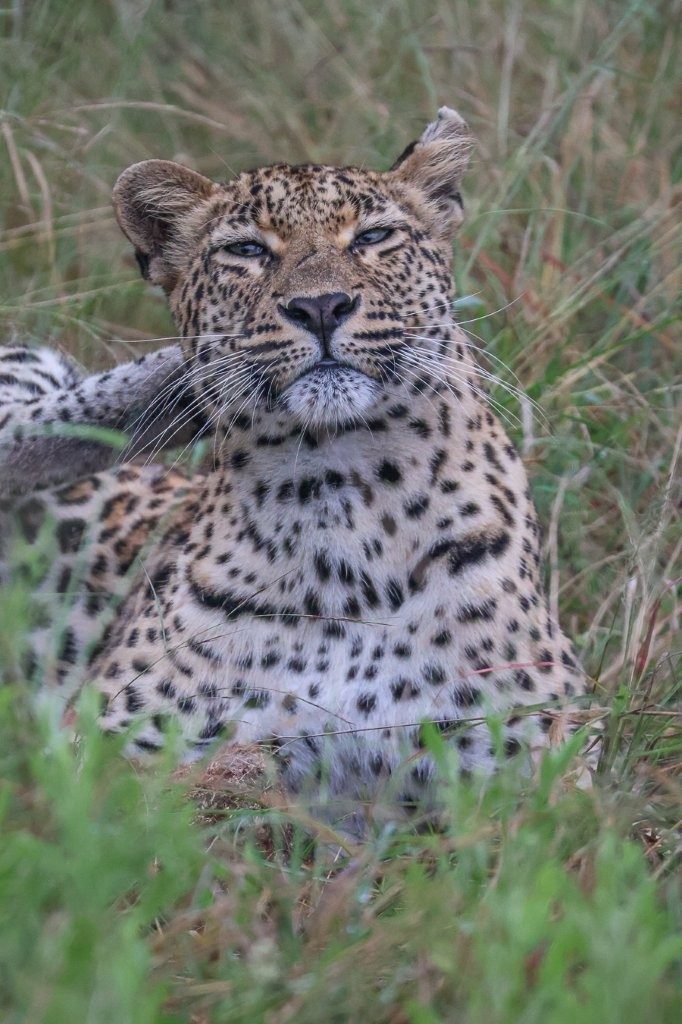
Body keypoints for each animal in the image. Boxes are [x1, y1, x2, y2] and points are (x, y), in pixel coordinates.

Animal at [2, 108, 587, 817]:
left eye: (374, 236)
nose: (320, 306)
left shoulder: (543, 746)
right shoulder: (102, 744)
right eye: (248, 251)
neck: (345, 491)